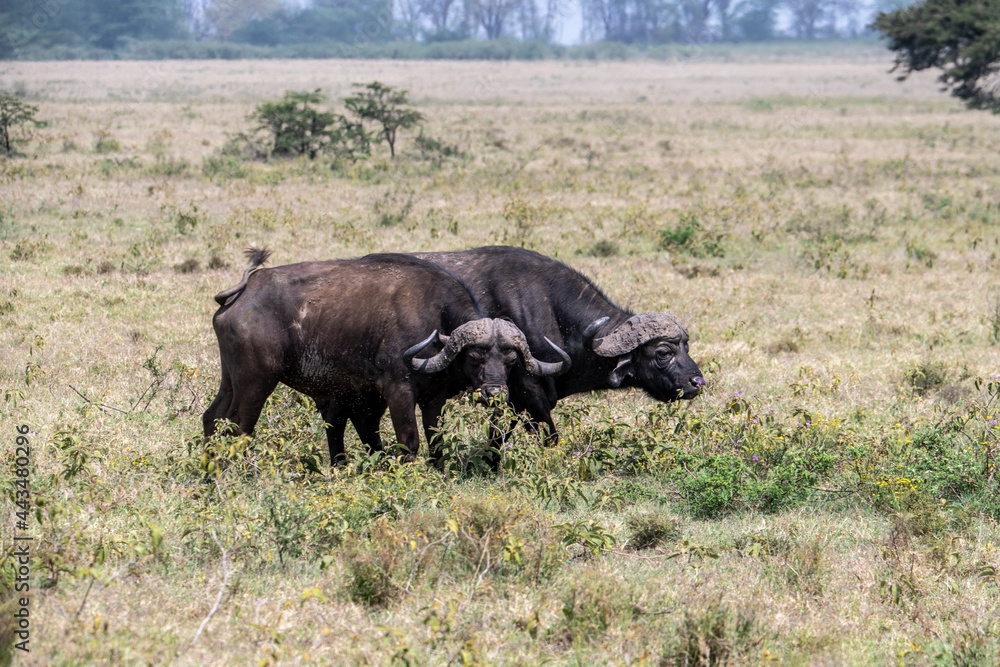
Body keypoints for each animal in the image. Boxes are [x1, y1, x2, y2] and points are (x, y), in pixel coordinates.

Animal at [201, 249, 572, 464]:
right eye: (476, 356)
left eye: (510, 360)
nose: (495, 394)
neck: (436, 317)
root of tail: (245, 292)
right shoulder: (398, 391)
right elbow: (410, 440)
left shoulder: (433, 397)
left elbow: (436, 440)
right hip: (257, 383)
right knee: (238, 428)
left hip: (231, 380)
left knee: (212, 418)